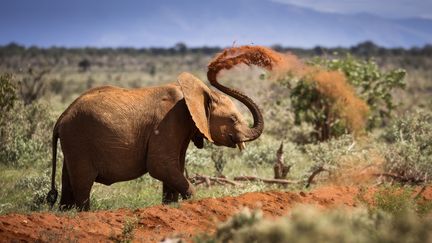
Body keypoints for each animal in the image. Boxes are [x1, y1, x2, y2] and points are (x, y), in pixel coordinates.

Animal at [46, 71, 264, 210]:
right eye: (233, 119)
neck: (192, 93)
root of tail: (62, 117)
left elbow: (174, 167)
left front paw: (170, 206)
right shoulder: (169, 121)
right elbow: (160, 165)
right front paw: (194, 202)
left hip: (72, 143)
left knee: (68, 181)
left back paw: (66, 213)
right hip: (79, 140)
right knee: (83, 183)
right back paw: (84, 214)